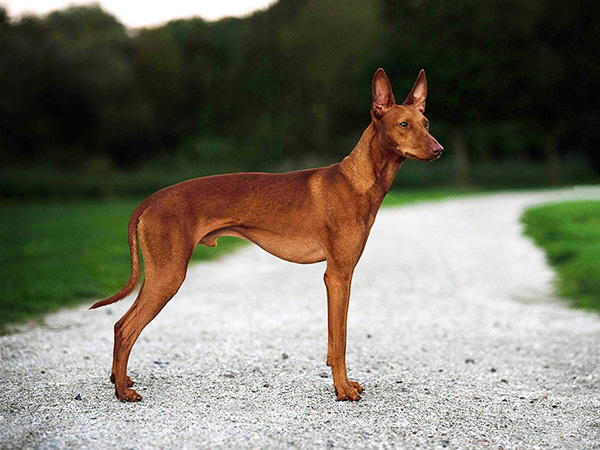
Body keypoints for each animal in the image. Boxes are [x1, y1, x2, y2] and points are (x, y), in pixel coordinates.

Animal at [91, 69, 442, 400]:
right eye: (403, 124)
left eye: (425, 122)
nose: (438, 149)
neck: (356, 181)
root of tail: (150, 200)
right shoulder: (338, 275)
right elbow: (340, 341)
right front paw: (343, 390)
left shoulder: (339, 276)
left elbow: (335, 340)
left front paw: (345, 384)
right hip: (169, 275)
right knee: (126, 328)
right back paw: (122, 392)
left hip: (160, 274)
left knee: (120, 324)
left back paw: (120, 379)